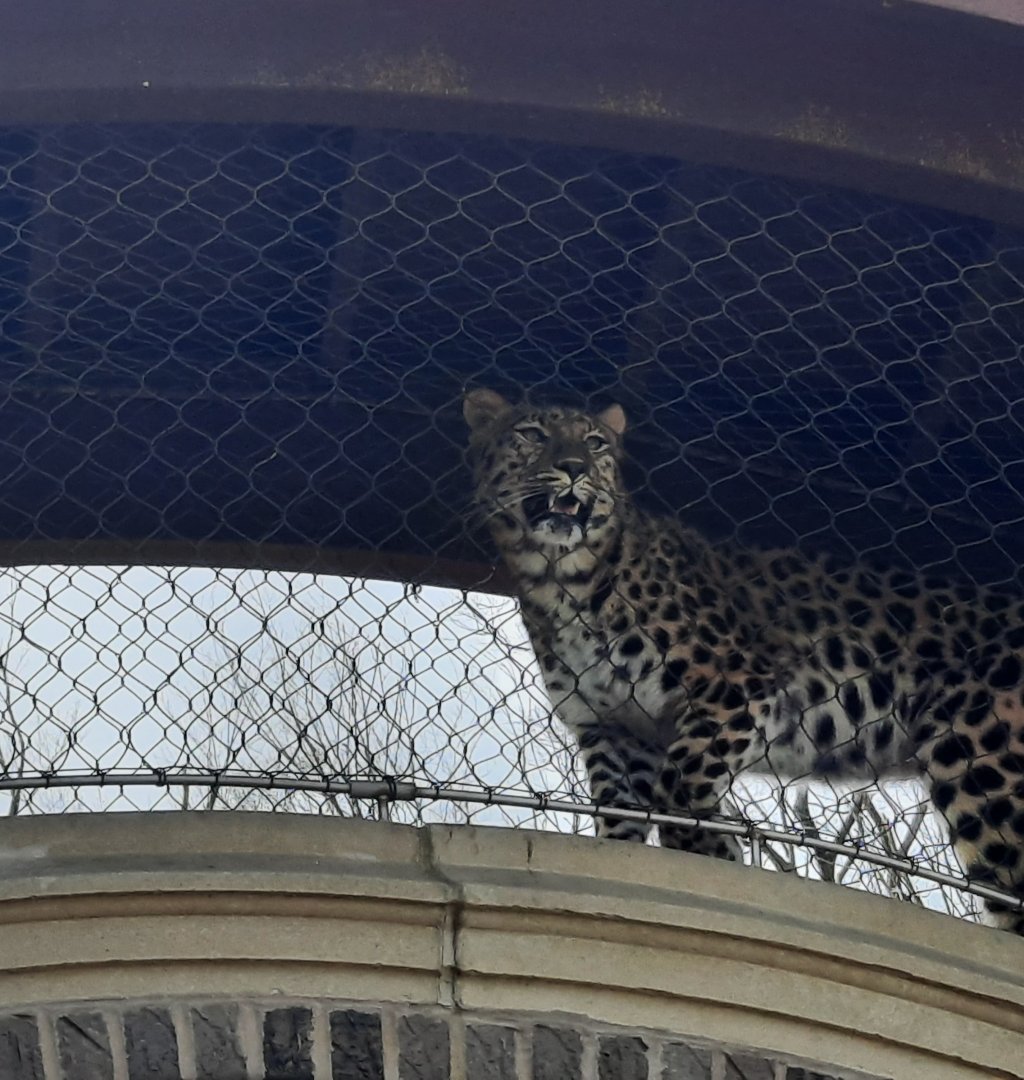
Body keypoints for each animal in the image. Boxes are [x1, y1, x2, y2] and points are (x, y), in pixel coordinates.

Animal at [464, 387, 1024, 934]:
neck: (558, 580)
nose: (575, 466)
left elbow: (681, 786)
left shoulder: (736, 688)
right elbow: (620, 825)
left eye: (595, 442)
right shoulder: (613, 730)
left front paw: (713, 853)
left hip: (980, 759)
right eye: (532, 434)